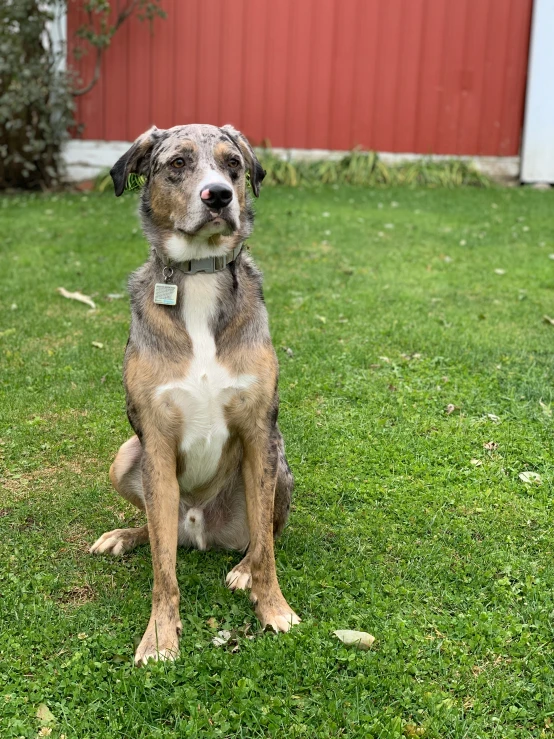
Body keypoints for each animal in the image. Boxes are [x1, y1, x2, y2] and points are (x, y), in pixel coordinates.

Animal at [89, 124, 298, 668]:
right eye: (178, 163)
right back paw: (125, 537)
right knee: (160, 533)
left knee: (264, 535)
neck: (200, 274)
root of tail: (202, 531)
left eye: (232, 165)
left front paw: (273, 608)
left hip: (281, 465)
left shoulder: (260, 431)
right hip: (127, 458)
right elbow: (163, 571)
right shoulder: (156, 441)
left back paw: (242, 568)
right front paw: (160, 637)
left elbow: (268, 552)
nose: (219, 196)